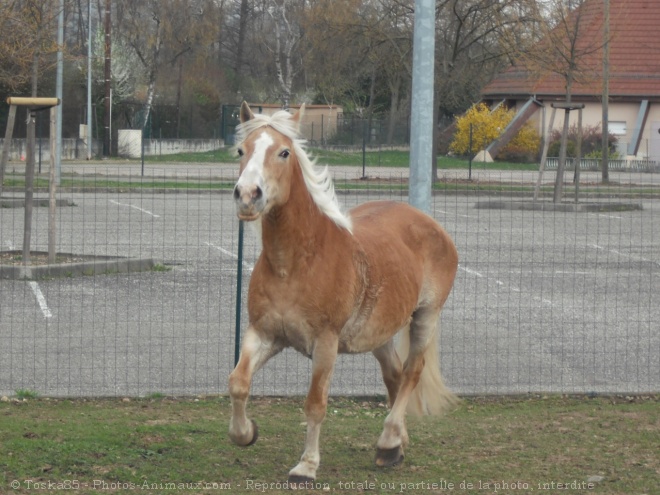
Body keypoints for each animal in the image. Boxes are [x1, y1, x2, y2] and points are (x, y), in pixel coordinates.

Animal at [228, 101, 458, 484]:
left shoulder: (325, 343)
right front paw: (246, 433)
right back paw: (396, 444)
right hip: (380, 332)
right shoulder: (263, 334)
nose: (247, 196)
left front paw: (306, 466)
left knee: (412, 372)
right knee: (395, 376)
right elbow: (239, 382)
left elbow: (315, 403)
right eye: (241, 151)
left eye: (284, 152)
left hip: (425, 316)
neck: (295, 263)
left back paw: (387, 442)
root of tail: (429, 223)